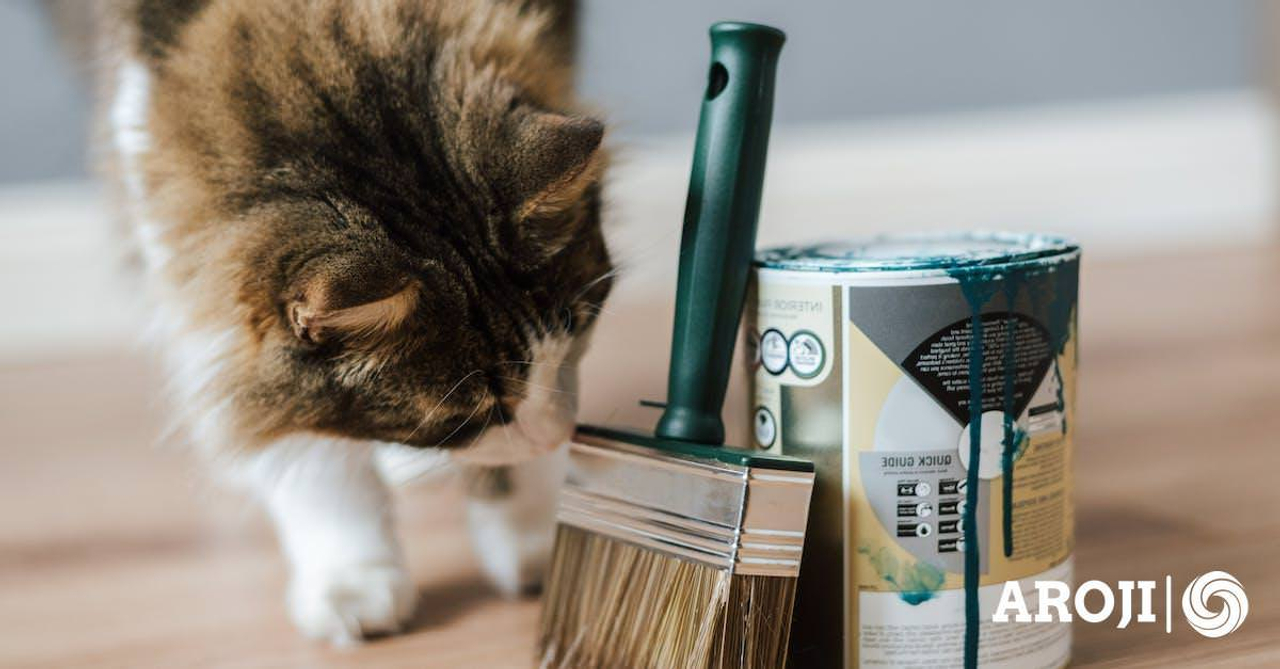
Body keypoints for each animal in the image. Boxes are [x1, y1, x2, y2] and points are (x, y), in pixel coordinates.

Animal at [88, 0, 609, 647]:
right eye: (472, 413)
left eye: (579, 330)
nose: (562, 435)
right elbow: (294, 432)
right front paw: (352, 577)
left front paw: (535, 527)